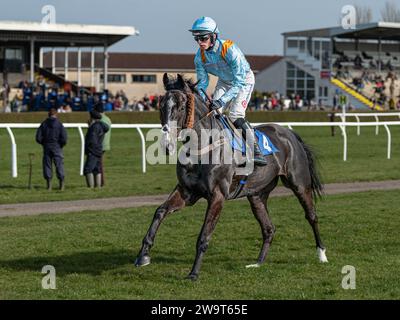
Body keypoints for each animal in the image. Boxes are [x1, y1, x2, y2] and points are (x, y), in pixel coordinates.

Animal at [135, 74, 328, 278]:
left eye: (180, 106)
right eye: (161, 105)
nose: (167, 144)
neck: (202, 148)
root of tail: (289, 133)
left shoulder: (217, 196)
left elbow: (204, 235)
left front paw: (194, 273)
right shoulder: (187, 192)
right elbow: (160, 211)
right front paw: (143, 255)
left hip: (299, 184)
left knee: (311, 216)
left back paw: (321, 254)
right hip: (257, 195)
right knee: (269, 228)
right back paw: (258, 263)